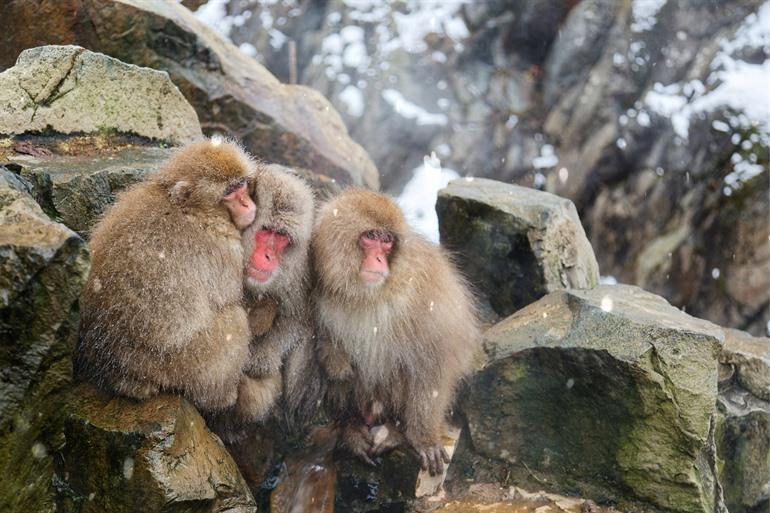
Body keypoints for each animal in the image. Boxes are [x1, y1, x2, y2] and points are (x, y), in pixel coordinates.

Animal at [75, 138, 260, 415]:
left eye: (241, 185)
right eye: (229, 192)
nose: (248, 205)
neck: (190, 210)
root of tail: (121, 370)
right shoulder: (224, 249)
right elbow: (232, 299)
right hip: (183, 365)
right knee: (235, 321)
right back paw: (222, 397)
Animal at [311, 189, 481, 476]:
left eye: (387, 240)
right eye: (371, 236)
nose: (380, 259)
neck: (364, 294)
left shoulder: (425, 291)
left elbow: (433, 359)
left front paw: (424, 439)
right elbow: (320, 340)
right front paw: (335, 360)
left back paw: (394, 432)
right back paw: (351, 428)